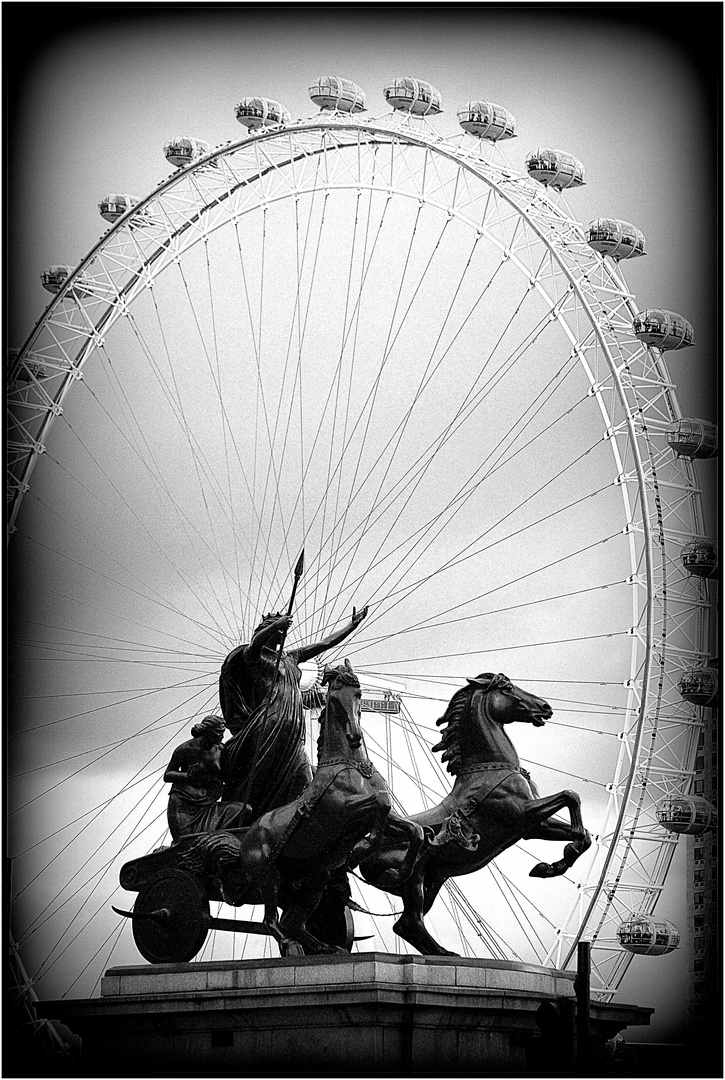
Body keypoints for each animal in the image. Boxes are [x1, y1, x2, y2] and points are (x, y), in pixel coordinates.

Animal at [356, 673, 587, 954]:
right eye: (507, 689)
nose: (545, 707)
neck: (490, 768)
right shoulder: (522, 814)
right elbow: (570, 796)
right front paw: (558, 859)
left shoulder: (532, 827)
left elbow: (583, 829)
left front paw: (552, 865)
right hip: (414, 875)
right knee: (409, 922)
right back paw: (443, 954)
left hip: (435, 878)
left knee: (407, 924)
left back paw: (442, 953)